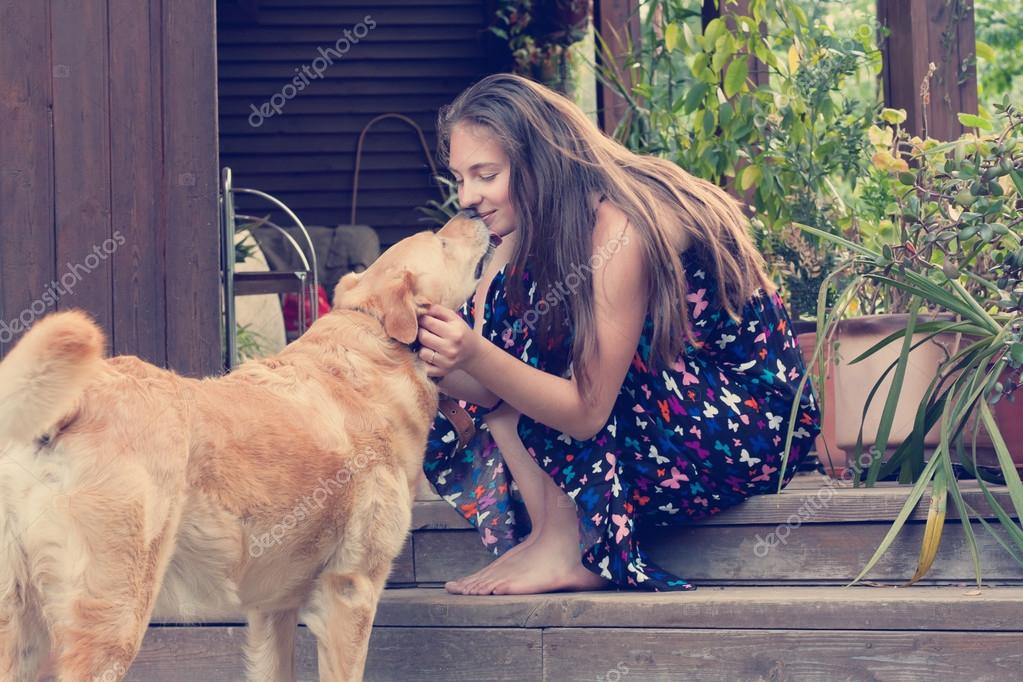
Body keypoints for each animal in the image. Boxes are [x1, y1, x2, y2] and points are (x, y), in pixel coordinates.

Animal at [0, 213, 495, 682]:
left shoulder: (272, 611)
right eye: (442, 242)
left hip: (24, 630)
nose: (474, 211)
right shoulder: (351, 591)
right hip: (115, 616)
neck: (372, 342)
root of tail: (79, 397)